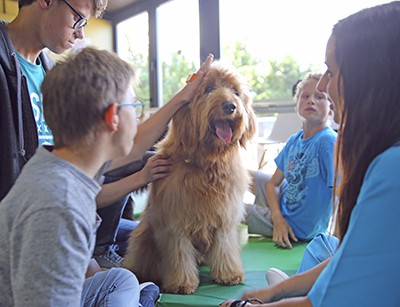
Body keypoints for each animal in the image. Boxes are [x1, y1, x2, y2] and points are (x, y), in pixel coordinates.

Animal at [123, 61, 258, 294]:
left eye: (235, 91)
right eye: (209, 89)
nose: (230, 106)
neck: (207, 162)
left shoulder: (224, 216)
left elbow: (224, 246)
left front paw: (228, 273)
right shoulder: (175, 220)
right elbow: (179, 253)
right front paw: (181, 282)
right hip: (143, 235)